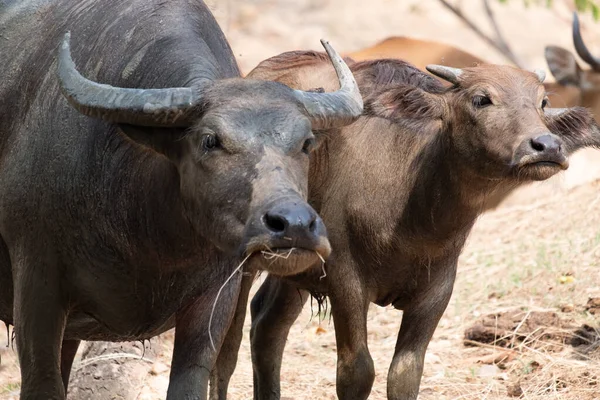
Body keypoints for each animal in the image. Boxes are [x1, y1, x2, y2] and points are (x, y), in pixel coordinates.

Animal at [0, 1, 364, 398]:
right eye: (210, 140)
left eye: (306, 142)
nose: (294, 225)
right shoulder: (37, 292)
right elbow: (42, 382)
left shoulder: (214, 301)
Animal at [211, 51, 600, 398]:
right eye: (481, 99)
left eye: (543, 101)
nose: (546, 146)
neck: (413, 219)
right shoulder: (345, 280)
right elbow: (356, 372)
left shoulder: (437, 291)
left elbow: (405, 375)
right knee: (227, 347)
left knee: (268, 325)